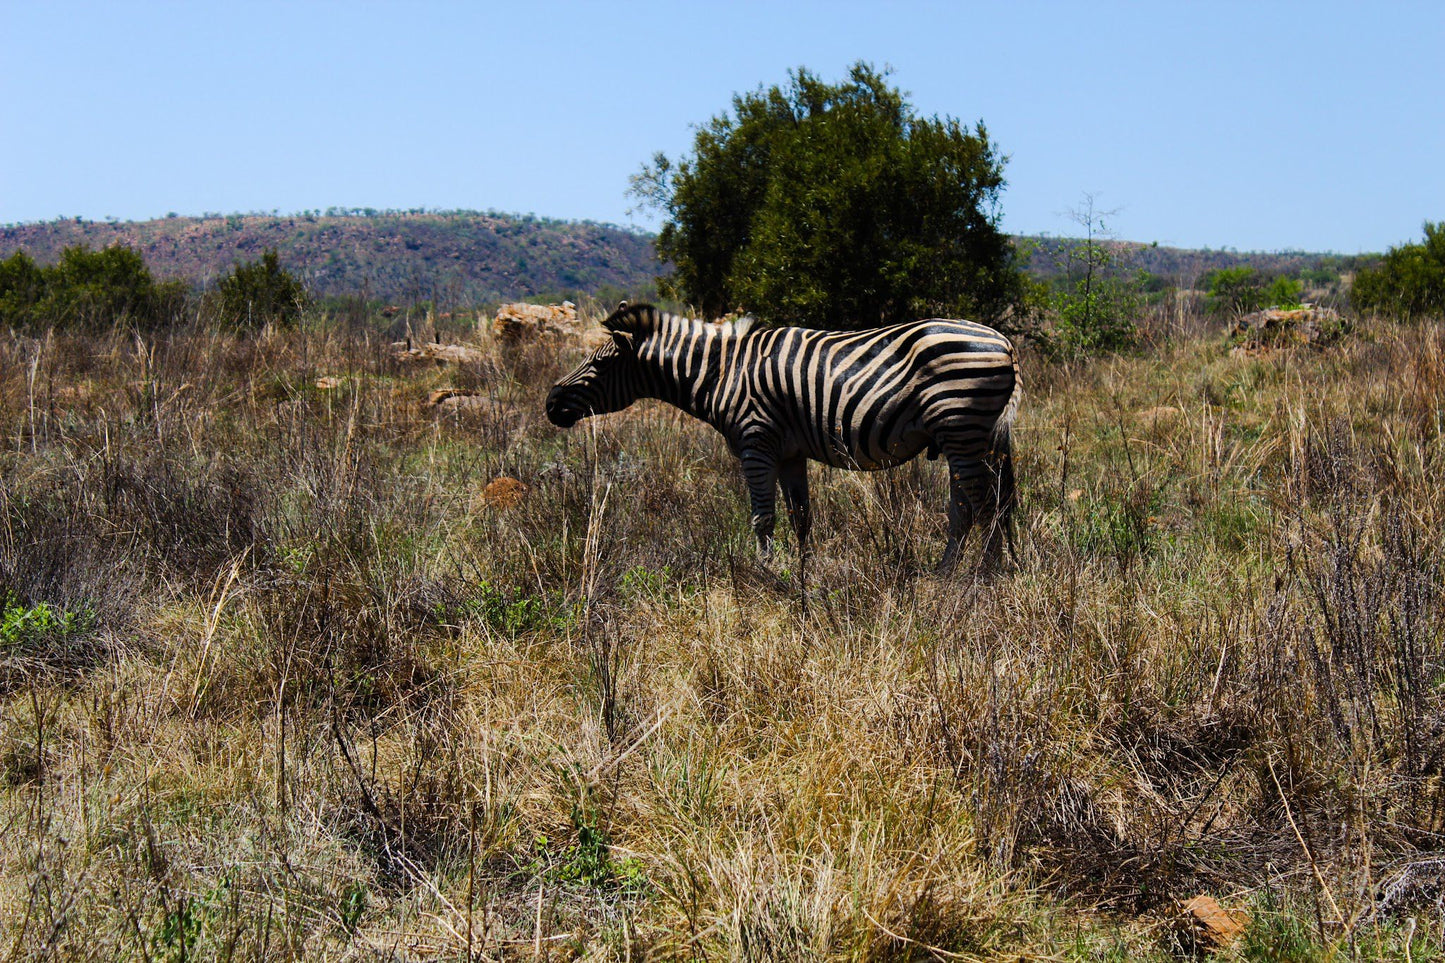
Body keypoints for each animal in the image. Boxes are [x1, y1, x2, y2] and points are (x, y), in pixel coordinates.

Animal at [546, 300, 1023, 569]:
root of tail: (1002, 340)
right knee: (973, 507)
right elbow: (801, 518)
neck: (722, 373)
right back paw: (946, 574)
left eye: (600, 364)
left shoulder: (755, 444)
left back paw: (984, 577)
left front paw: (766, 574)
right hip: (971, 436)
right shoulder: (791, 453)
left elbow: (763, 517)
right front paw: (803, 574)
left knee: (985, 505)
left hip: (960, 425)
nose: (551, 403)